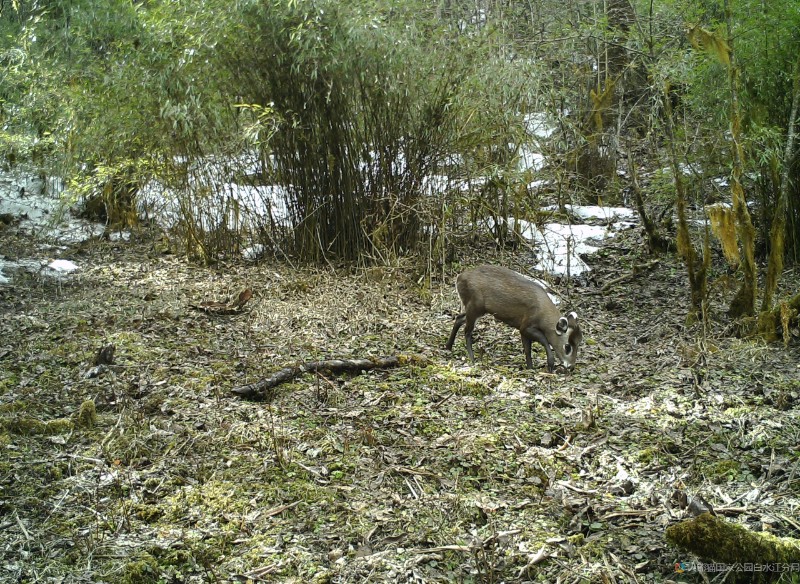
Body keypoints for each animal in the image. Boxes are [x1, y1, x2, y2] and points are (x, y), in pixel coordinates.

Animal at [444, 264, 580, 372]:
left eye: (579, 343)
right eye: (567, 347)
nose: (571, 366)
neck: (542, 315)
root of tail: (459, 278)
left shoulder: (523, 330)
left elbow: (527, 350)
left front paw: (530, 368)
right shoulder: (526, 326)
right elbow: (544, 340)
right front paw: (550, 365)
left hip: (475, 308)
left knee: (459, 318)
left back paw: (448, 346)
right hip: (475, 305)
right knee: (467, 331)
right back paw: (472, 359)